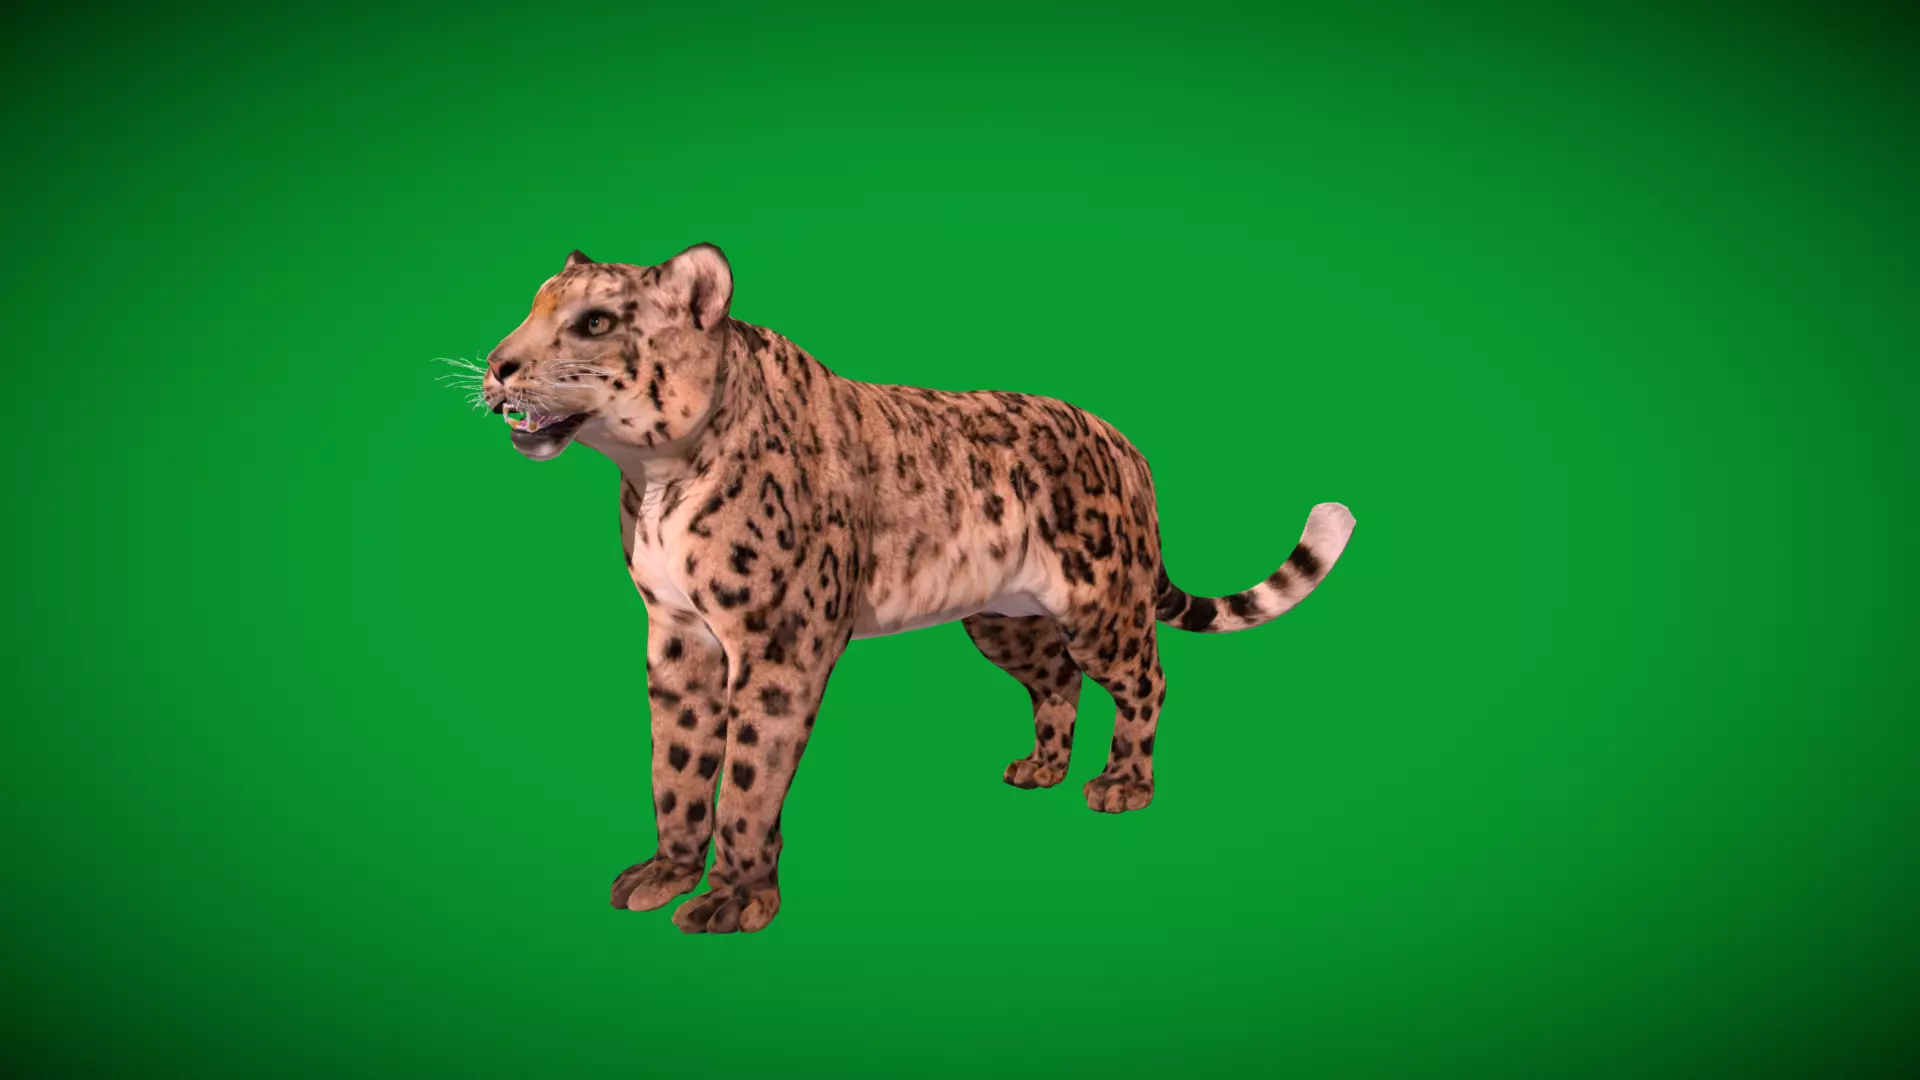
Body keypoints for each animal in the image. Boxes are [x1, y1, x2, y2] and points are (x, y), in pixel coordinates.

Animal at [472, 244, 1357, 934]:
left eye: (595, 322)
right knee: (1057, 680)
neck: (656, 480)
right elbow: (677, 763)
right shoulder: (678, 636)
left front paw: (735, 899)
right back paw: (1042, 767)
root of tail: (1125, 445)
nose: (495, 366)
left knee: (1147, 678)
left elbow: (750, 776)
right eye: (535, 305)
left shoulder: (780, 645)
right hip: (1004, 621)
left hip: (1100, 604)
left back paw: (1123, 785)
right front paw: (665, 872)